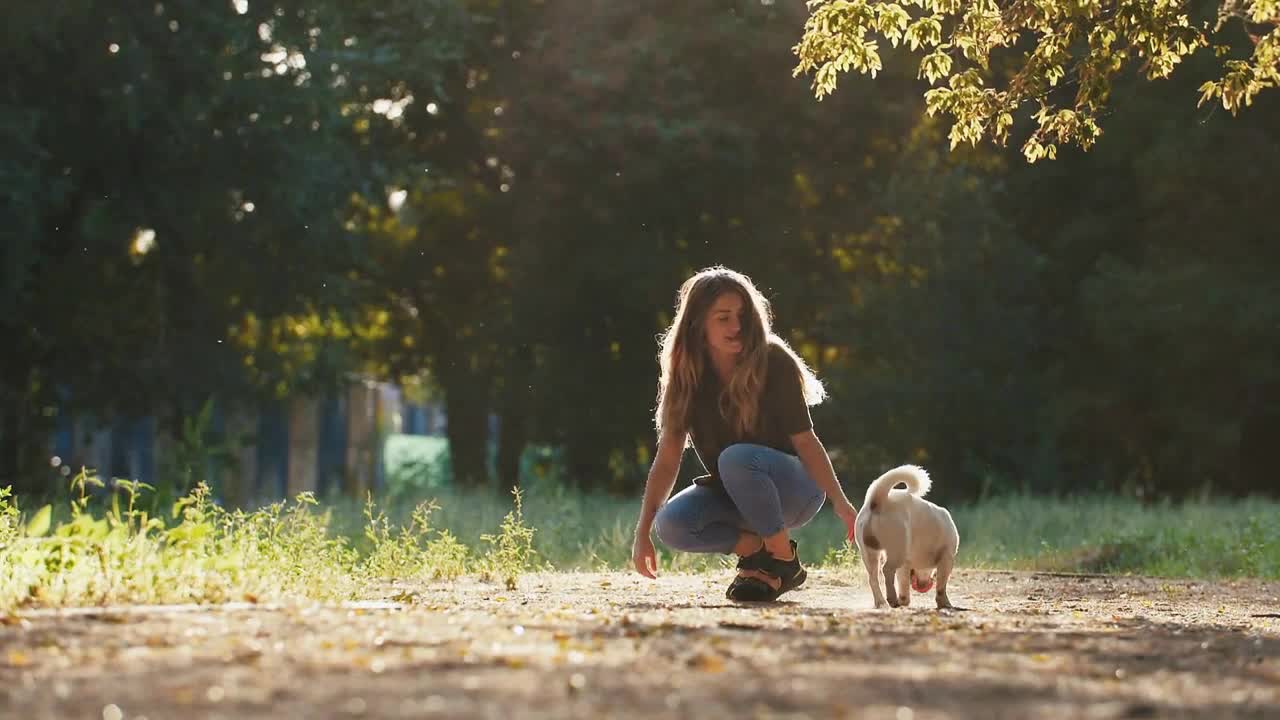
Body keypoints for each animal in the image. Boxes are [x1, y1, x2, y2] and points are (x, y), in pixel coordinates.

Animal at [855, 461, 957, 607]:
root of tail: (878, 501)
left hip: (870, 554)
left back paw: (881, 602)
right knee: (887, 571)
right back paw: (891, 598)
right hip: (897, 551)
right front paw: (945, 603)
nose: (922, 586)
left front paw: (904, 600)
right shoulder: (947, 558)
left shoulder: (905, 566)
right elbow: (941, 586)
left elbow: (903, 585)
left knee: (873, 578)